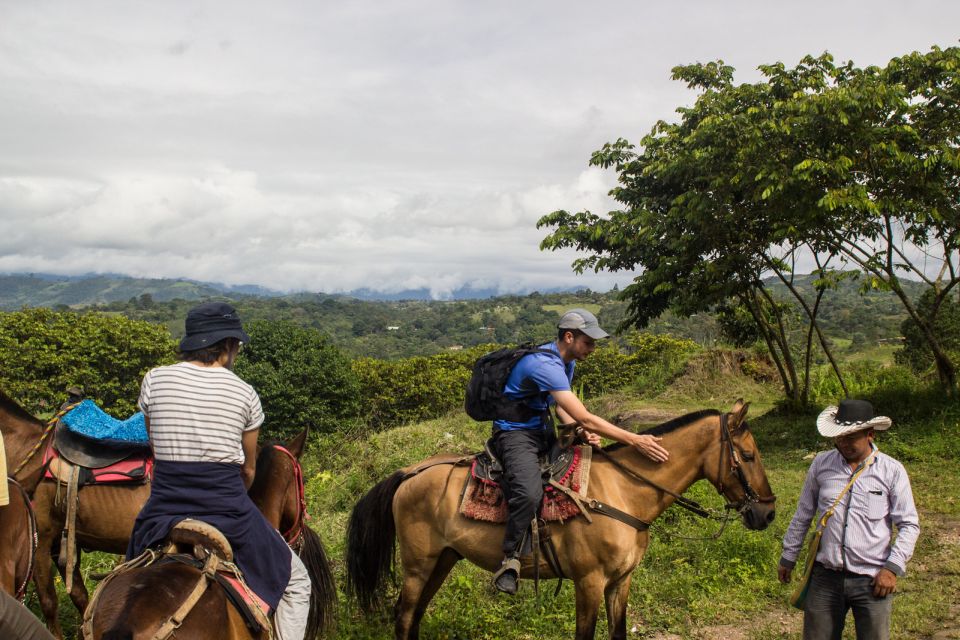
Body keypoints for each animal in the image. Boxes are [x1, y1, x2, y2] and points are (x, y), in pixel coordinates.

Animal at [348, 400, 776, 640]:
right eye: (749, 456)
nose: (768, 512)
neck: (623, 491)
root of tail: (410, 472)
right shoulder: (588, 582)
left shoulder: (620, 581)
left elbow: (618, 632)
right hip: (418, 565)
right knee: (404, 617)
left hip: (443, 560)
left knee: (414, 616)